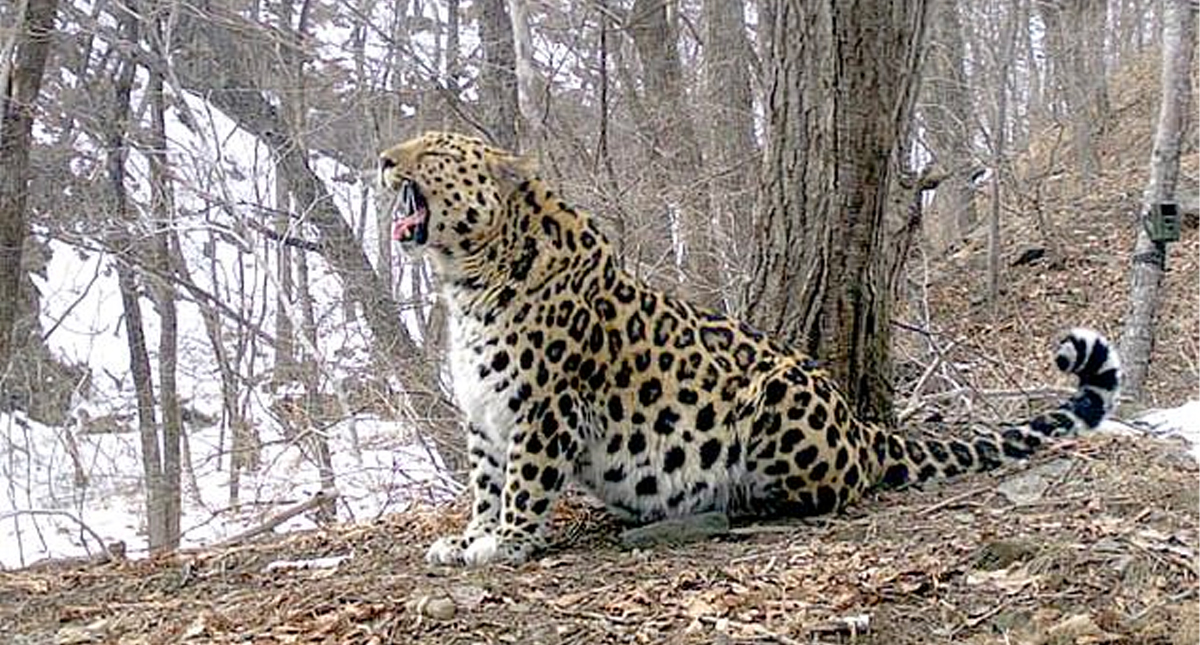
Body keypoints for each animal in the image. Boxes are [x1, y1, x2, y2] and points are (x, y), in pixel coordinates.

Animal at [378, 131, 1122, 567]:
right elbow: (484, 482)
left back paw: (732, 501)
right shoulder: (484, 417)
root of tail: (864, 427)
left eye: (433, 153)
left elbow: (524, 483)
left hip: (777, 396)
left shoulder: (546, 409)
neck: (466, 278)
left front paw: (504, 544)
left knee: (828, 490)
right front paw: (468, 537)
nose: (382, 159)